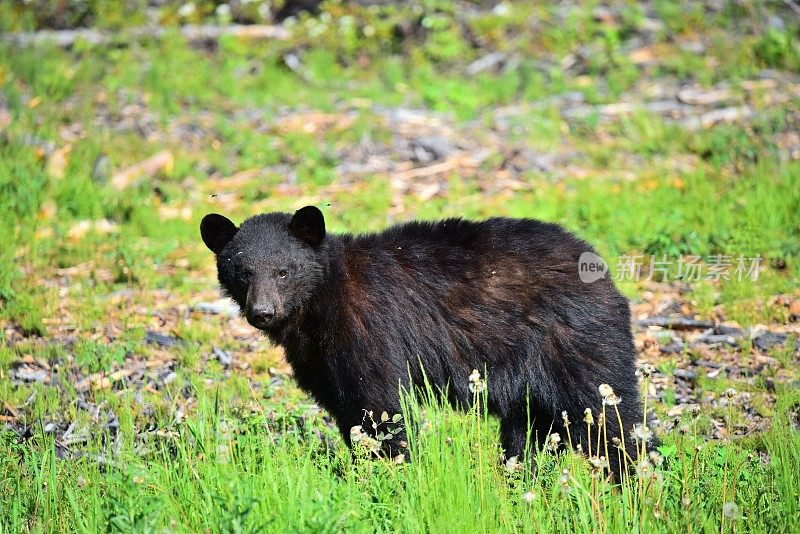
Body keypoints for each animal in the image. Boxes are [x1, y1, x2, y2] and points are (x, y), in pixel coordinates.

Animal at [198, 207, 644, 480]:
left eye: (283, 271)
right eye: (242, 270)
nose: (262, 312)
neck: (318, 304)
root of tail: (600, 266)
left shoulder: (371, 327)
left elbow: (380, 407)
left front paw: (391, 477)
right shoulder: (320, 359)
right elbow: (346, 410)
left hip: (575, 341)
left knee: (610, 417)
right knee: (528, 430)